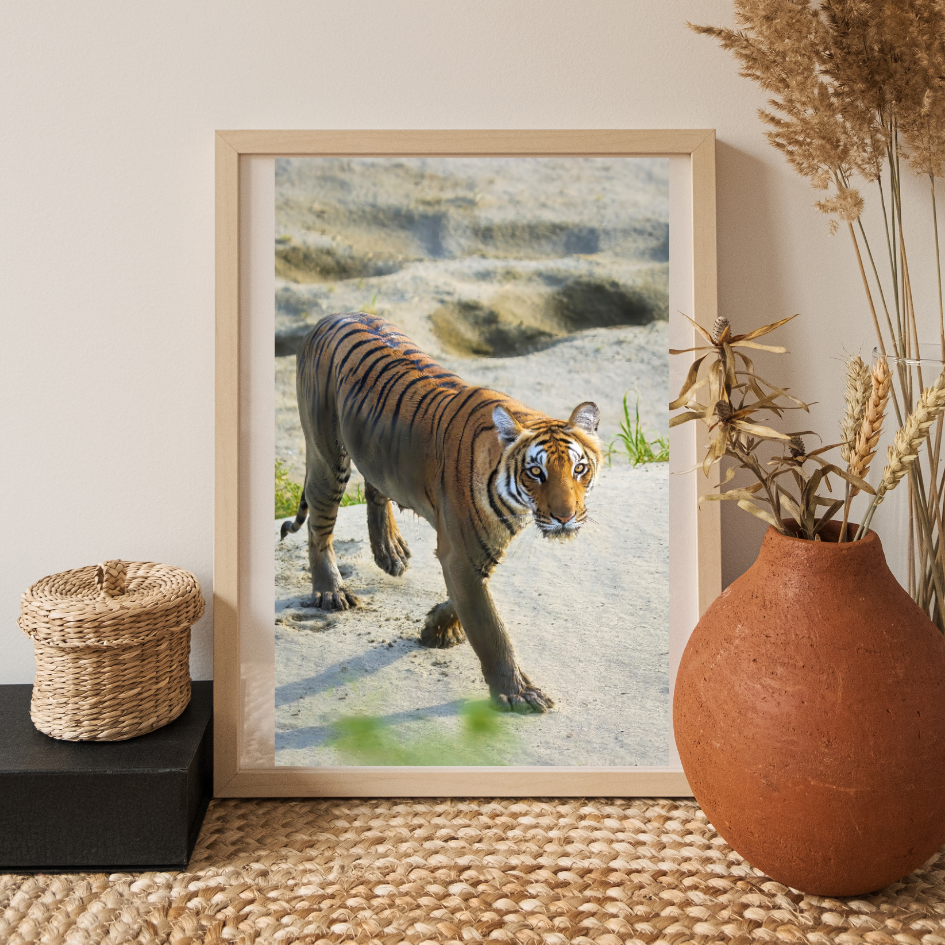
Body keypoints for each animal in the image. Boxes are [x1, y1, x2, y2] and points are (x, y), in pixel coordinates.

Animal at [280, 311, 603, 713]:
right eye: (535, 472)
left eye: (579, 469)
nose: (565, 517)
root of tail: (330, 316)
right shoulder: (462, 554)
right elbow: (490, 627)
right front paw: (516, 692)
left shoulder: (480, 549)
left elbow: (466, 603)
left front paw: (436, 627)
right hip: (327, 457)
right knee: (319, 527)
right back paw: (330, 591)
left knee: (375, 486)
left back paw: (390, 552)